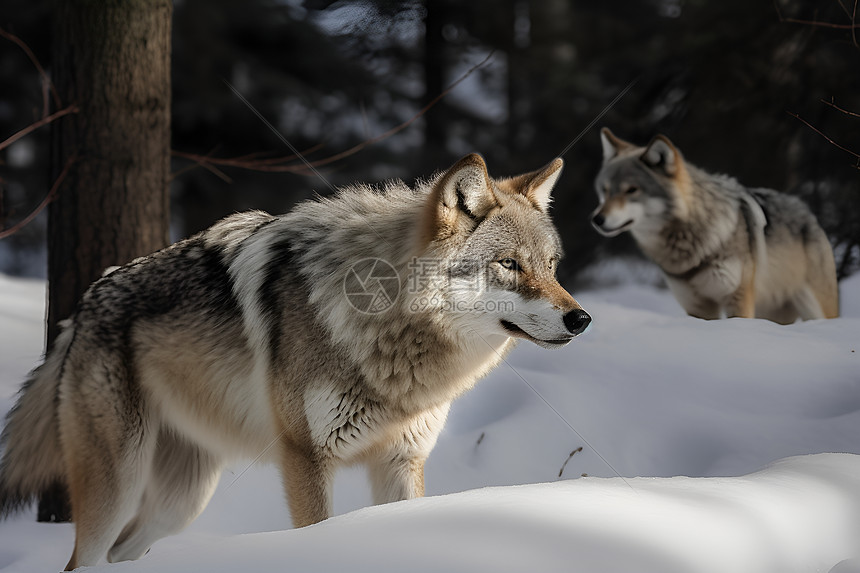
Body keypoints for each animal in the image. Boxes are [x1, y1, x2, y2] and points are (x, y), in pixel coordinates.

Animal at [0, 153, 592, 568]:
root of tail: (86, 302)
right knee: (82, 560)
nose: (580, 319)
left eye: (551, 265)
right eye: (509, 265)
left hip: (179, 504)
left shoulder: (401, 462)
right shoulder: (306, 458)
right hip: (118, 486)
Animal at [588, 128, 836, 322]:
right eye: (605, 190)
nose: (597, 219)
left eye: (631, 190)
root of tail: (807, 210)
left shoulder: (738, 299)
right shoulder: (698, 307)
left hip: (815, 310)